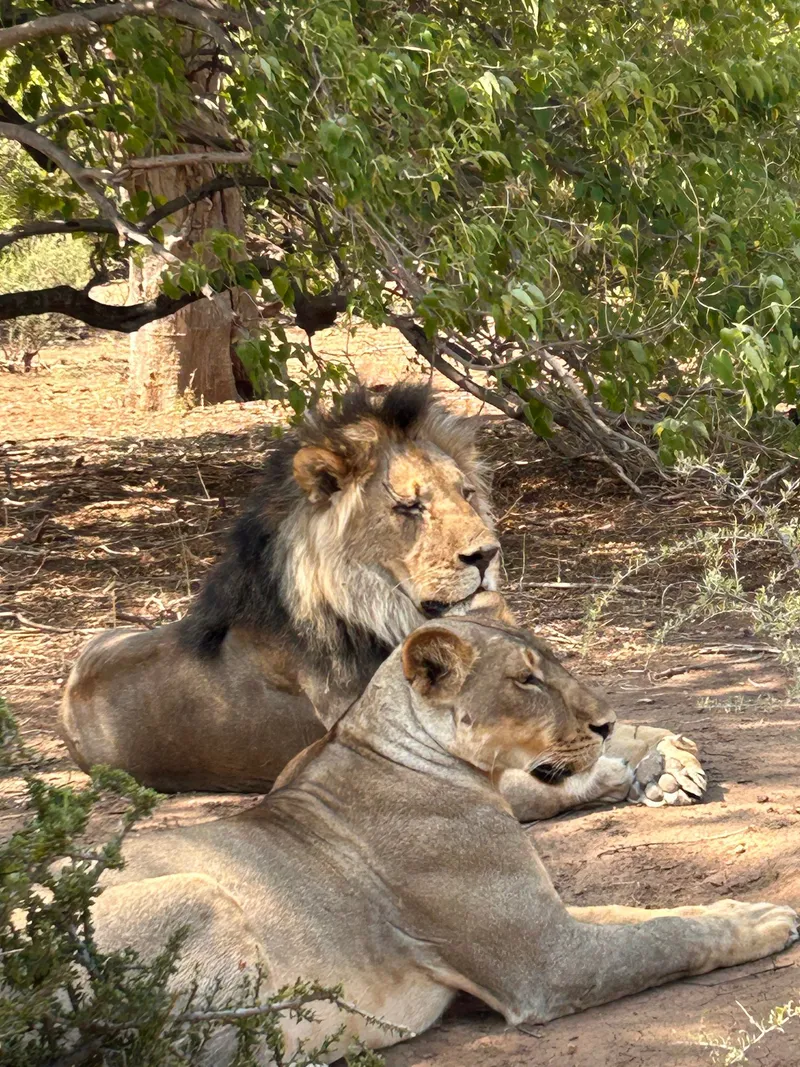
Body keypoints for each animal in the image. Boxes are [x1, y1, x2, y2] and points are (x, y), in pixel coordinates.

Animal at [61, 384, 705, 817]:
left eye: (466, 494)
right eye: (409, 507)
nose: (487, 554)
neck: (388, 619)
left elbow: (612, 727)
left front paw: (669, 759)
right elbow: (546, 776)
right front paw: (624, 771)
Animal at [93, 618, 798, 1064]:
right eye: (527, 680)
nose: (608, 724)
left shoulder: (545, 920)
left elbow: (640, 914)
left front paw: (742, 907)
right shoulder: (548, 964)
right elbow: (665, 939)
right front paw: (759, 925)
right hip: (196, 892)